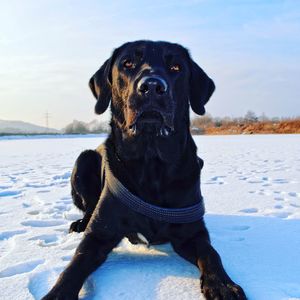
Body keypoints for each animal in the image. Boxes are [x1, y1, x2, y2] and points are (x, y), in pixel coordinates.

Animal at [44, 40, 246, 300]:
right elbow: (75, 263)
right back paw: (80, 223)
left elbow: (211, 253)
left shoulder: (192, 233)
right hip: (84, 159)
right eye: (127, 63)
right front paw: (57, 293)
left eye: (176, 67)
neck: (151, 163)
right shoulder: (100, 234)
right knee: (88, 208)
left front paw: (223, 285)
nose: (151, 86)